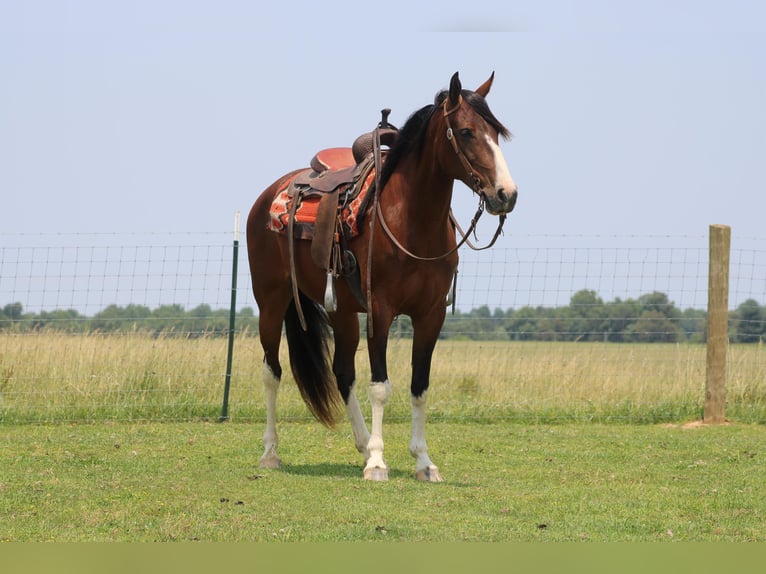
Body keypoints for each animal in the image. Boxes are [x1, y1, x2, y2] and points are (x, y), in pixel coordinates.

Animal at [249, 72, 520, 482]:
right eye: (466, 131)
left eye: (496, 132)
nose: (506, 195)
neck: (411, 220)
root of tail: (269, 196)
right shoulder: (381, 310)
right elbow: (380, 386)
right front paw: (378, 463)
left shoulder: (430, 315)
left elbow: (419, 386)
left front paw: (423, 462)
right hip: (271, 302)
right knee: (271, 372)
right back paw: (271, 453)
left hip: (342, 311)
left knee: (342, 372)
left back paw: (362, 444)